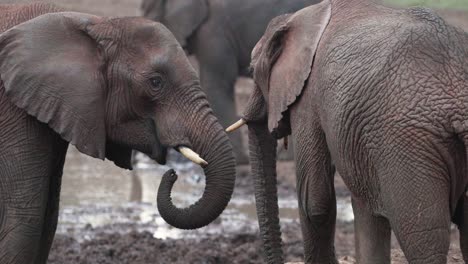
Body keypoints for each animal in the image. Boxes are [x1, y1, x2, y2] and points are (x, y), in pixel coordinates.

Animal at [0, 2, 236, 264]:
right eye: (156, 82)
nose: (172, 174)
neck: (94, 23)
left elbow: (48, 217)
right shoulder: (12, 107)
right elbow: (26, 217)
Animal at [229, 0, 468, 262]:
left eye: (251, 70)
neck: (300, 16)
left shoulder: (309, 97)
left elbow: (314, 200)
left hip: (408, 147)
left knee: (424, 238)